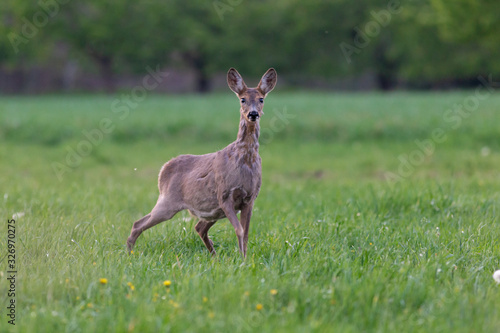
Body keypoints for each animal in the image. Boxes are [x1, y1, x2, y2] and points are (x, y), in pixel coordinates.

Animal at [126, 67, 278, 256]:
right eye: (242, 99)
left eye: (261, 99)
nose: (253, 114)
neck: (245, 160)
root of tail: (163, 170)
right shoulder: (224, 194)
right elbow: (240, 230)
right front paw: (242, 259)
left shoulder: (250, 198)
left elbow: (246, 233)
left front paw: (245, 258)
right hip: (169, 201)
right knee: (137, 223)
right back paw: (129, 253)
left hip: (212, 210)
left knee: (199, 227)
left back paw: (215, 257)